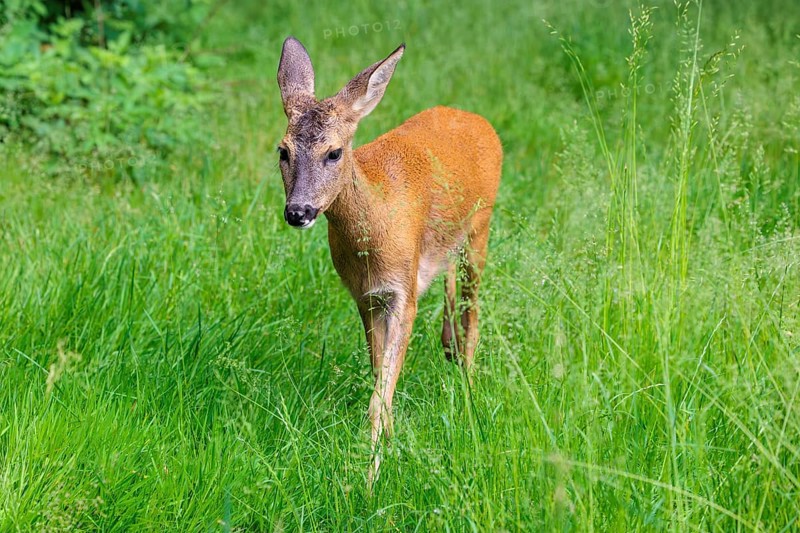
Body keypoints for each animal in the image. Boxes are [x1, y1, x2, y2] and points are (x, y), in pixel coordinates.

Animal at [275, 36, 502, 485]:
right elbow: (379, 373)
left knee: (474, 307)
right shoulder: (365, 295)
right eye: (283, 151)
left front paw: (371, 475)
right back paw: (448, 346)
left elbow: (381, 390)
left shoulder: (401, 292)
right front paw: (389, 445)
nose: (298, 211)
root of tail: (476, 119)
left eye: (334, 152)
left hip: (481, 224)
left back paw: (467, 382)